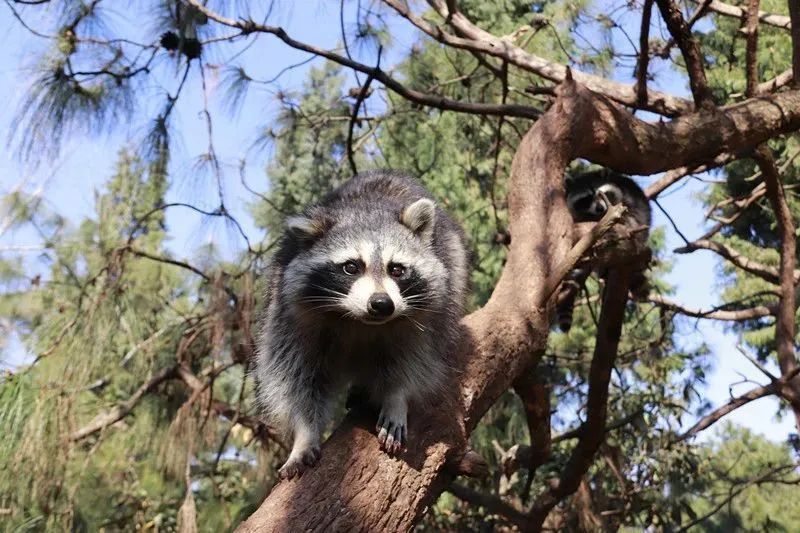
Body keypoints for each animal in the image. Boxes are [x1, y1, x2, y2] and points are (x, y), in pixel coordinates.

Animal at [255, 168, 468, 476]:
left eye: (397, 269)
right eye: (351, 267)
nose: (381, 304)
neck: (358, 319)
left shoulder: (425, 320)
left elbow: (414, 360)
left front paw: (396, 397)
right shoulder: (289, 317)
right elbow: (296, 378)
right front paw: (304, 434)